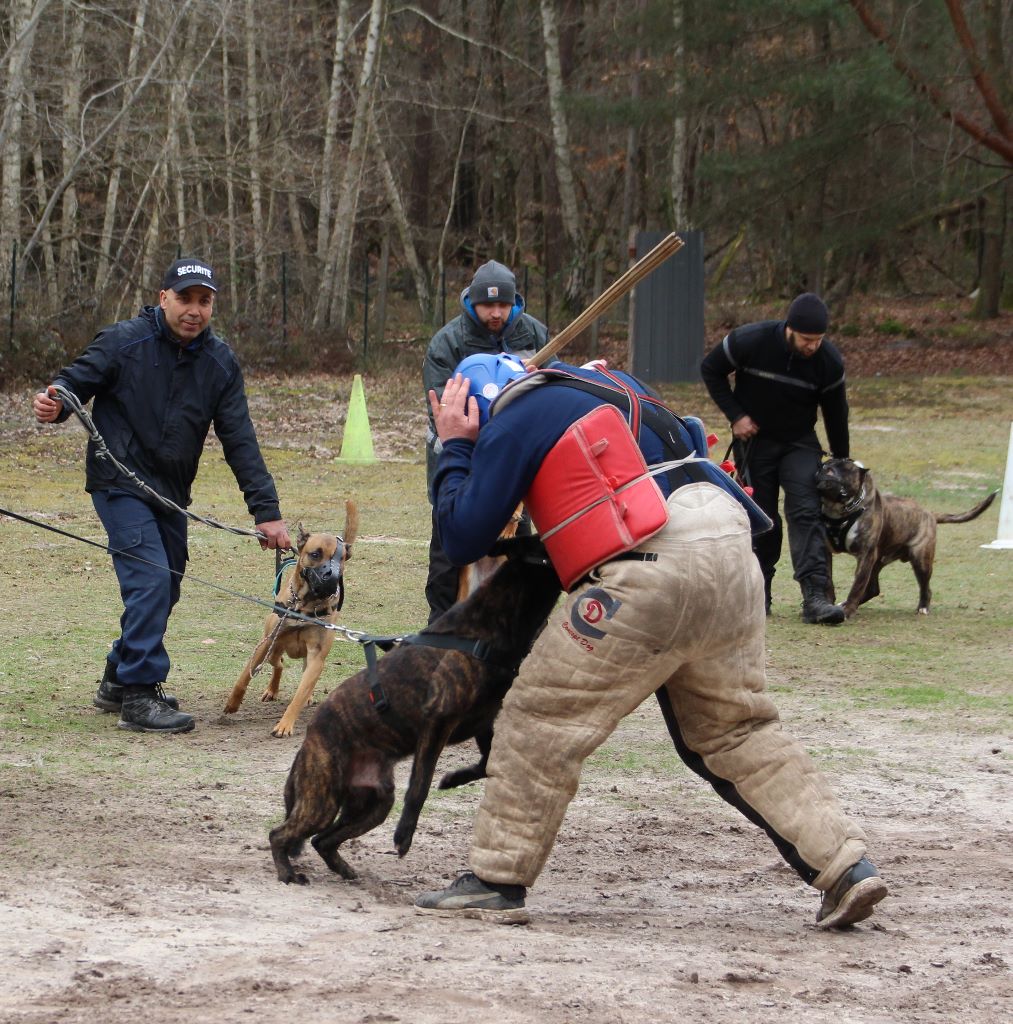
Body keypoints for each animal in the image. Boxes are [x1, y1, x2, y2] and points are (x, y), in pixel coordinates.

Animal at [224, 497, 356, 733]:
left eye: (339, 559)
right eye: (315, 554)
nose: (330, 577)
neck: (305, 605)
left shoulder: (316, 657)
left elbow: (300, 694)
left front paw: (285, 724)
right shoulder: (267, 641)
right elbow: (244, 676)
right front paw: (232, 703)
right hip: (275, 647)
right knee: (278, 663)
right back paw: (271, 690)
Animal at [819, 462, 991, 618]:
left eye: (843, 468)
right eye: (826, 464)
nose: (824, 469)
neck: (840, 511)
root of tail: (930, 513)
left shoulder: (865, 556)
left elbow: (857, 587)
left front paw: (848, 611)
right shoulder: (827, 550)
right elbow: (827, 578)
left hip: (920, 560)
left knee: (925, 588)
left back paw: (923, 607)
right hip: (878, 561)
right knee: (873, 589)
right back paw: (844, 604)